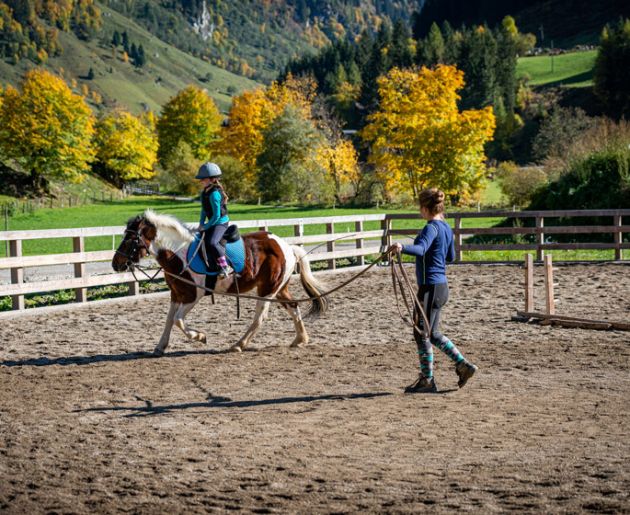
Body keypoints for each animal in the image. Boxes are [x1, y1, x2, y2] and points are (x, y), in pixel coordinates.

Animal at [113, 212, 328, 356]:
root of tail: (288, 247)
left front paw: (200, 336)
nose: (115, 263)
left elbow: (178, 320)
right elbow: (169, 320)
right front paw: (160, 346)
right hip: (279, 288)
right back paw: (300, 339)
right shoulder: (176, 294)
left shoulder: (192, 296)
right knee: (293, 306)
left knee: (260, 318)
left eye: (130, 238)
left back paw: (239, 344)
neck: (179, 253)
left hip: (267, 290)